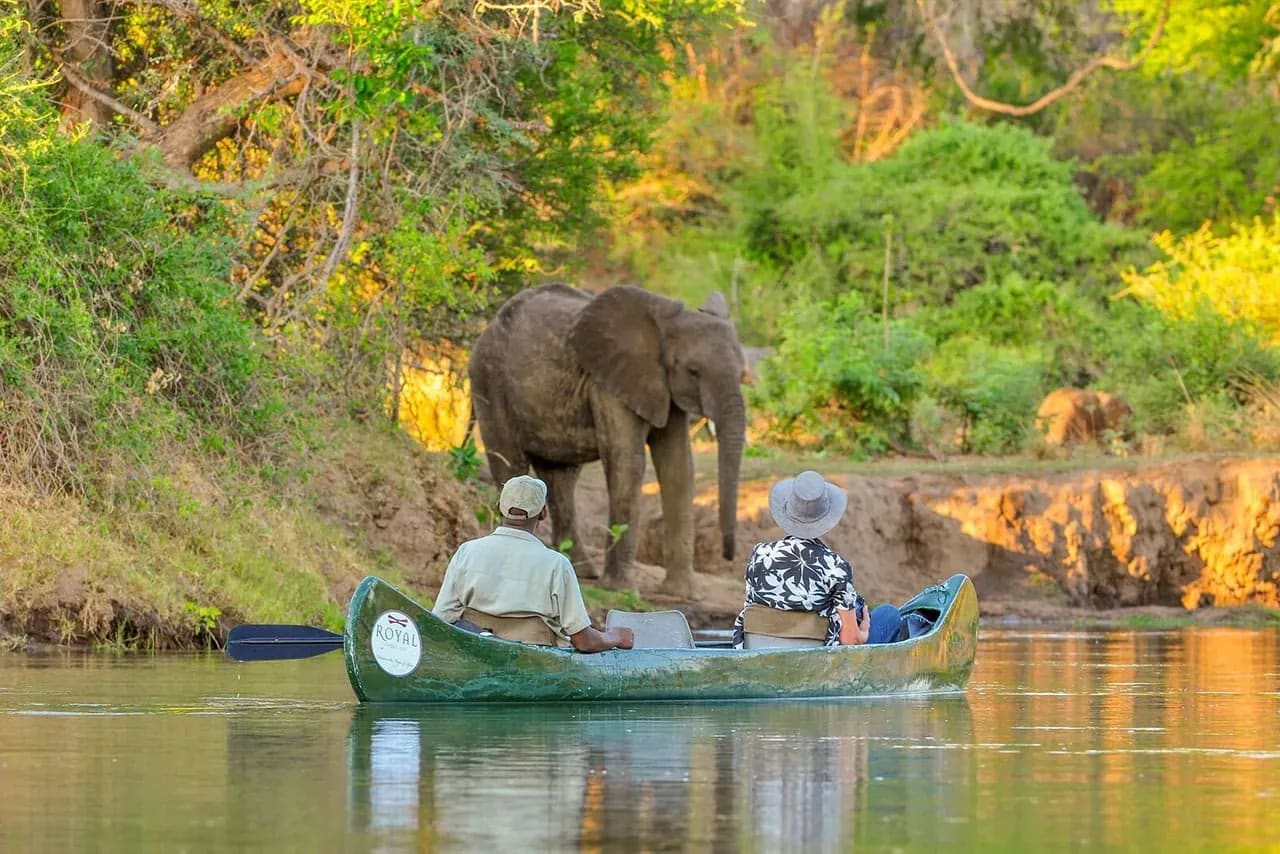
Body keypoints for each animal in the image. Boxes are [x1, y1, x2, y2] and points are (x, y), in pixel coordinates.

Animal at [468, 284, 746, 597]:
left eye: (742, 374)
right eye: (694, 371)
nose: (728, 555)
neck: (665, 322)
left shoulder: (665, 390)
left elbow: (678, 469)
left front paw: (681, 594)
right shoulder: (609, 383)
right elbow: (628, 462)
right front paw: (622, 591)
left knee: (560, 479)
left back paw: (580, 570)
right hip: (489, 382)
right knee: (511, 465)